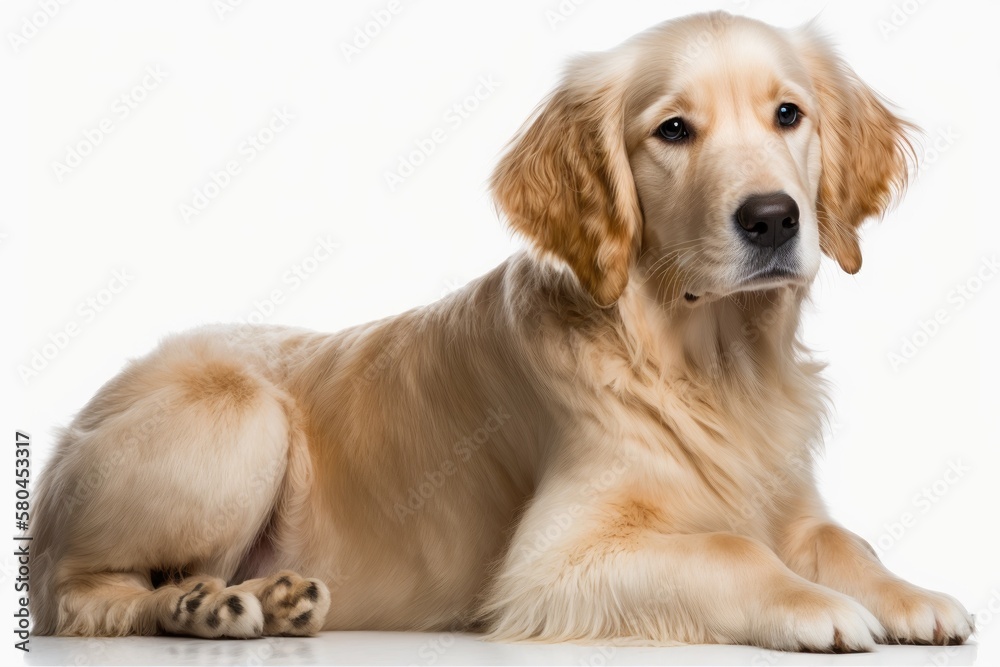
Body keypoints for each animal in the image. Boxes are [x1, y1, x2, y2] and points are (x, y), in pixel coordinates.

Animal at [33, 11, 976, 652]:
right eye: (673, 129)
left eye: (789, 114)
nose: (774, 219)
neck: (708, 358)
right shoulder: (551, 565)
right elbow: (730, 550)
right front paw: (815, 605)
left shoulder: (791, 498)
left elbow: (839, 537)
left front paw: (908, 593)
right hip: (237, 411)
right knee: (73, 595)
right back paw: (201, 604)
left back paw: (274, 598)